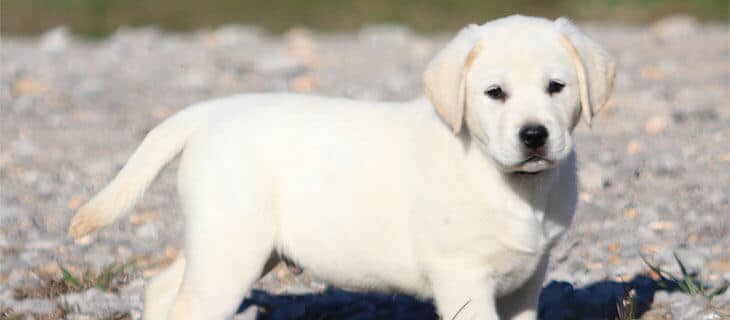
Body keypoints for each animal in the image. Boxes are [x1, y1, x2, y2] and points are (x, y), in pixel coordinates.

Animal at [69, 14, 616, 320]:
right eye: (494, 93)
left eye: (556, 87)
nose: (534, 135)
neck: (510, 184)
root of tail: (209, 111)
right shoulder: (463, 279)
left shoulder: (527, 280)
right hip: (231, 248)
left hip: (230, 244)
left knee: (164, 287)